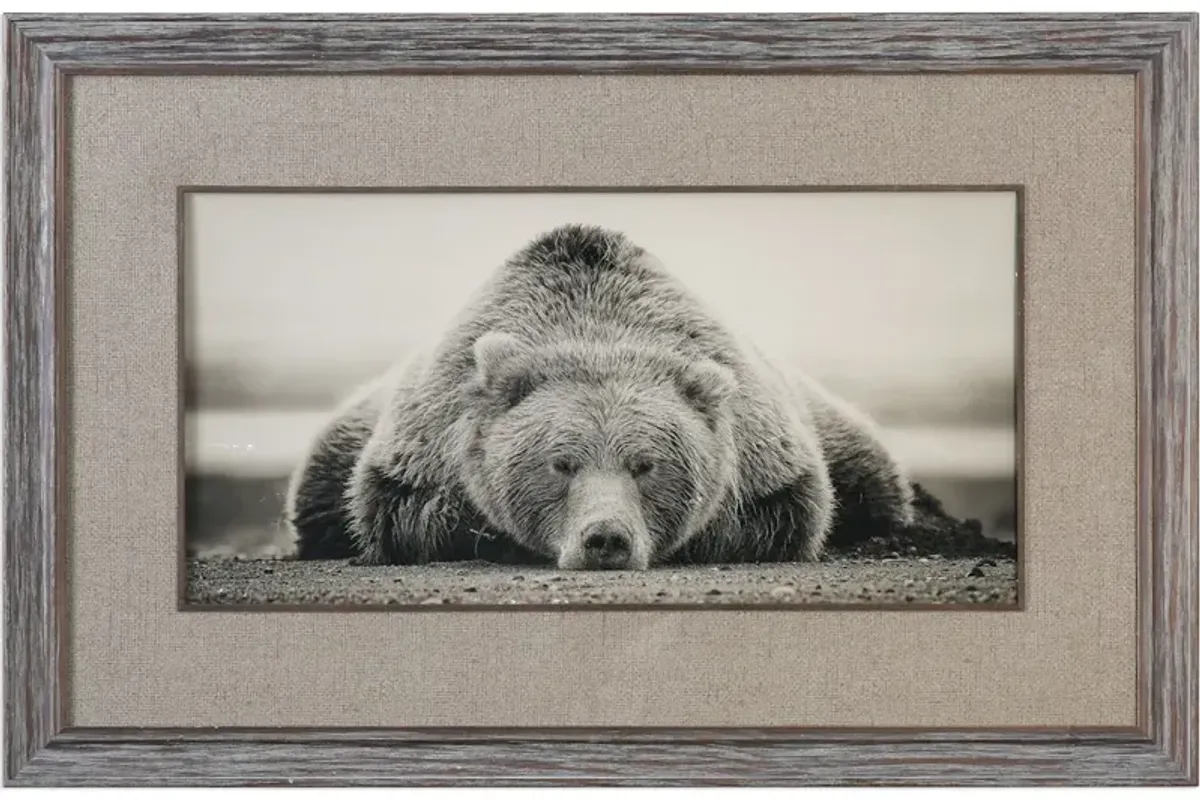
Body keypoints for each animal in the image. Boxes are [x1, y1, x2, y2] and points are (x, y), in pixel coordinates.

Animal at [284, 224, 915, 569]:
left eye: (646, 464)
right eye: (561, 463)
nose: (605, 538)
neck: (596, 324)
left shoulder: (767, 454)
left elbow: (786, 513)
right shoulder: (424, 445)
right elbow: (403, 511)